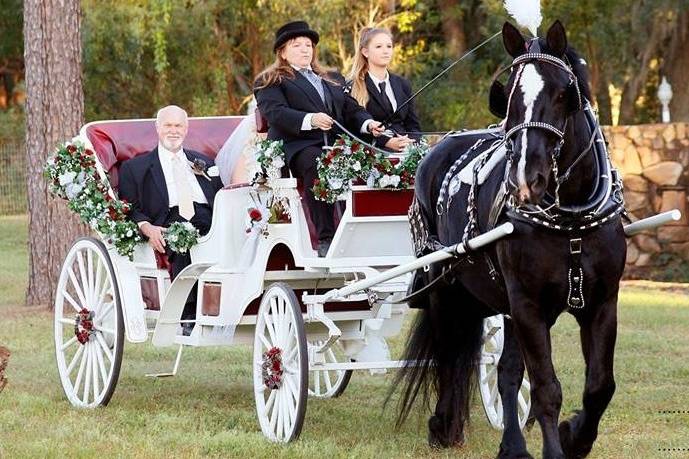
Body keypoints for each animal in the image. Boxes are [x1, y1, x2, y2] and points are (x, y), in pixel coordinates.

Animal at [390, 19, 628, 458]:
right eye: (509, 98)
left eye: (564, 93)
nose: (525, 181)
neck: (571, 221)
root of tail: (440, 145)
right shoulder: (528, 303)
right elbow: (547, 388)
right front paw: (556, 448)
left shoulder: (602, 301)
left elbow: (599, 385)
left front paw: (574, 437)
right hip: (447, 289)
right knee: (449, 356)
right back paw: (445, 425)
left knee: (505, 371)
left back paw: (510, 444)